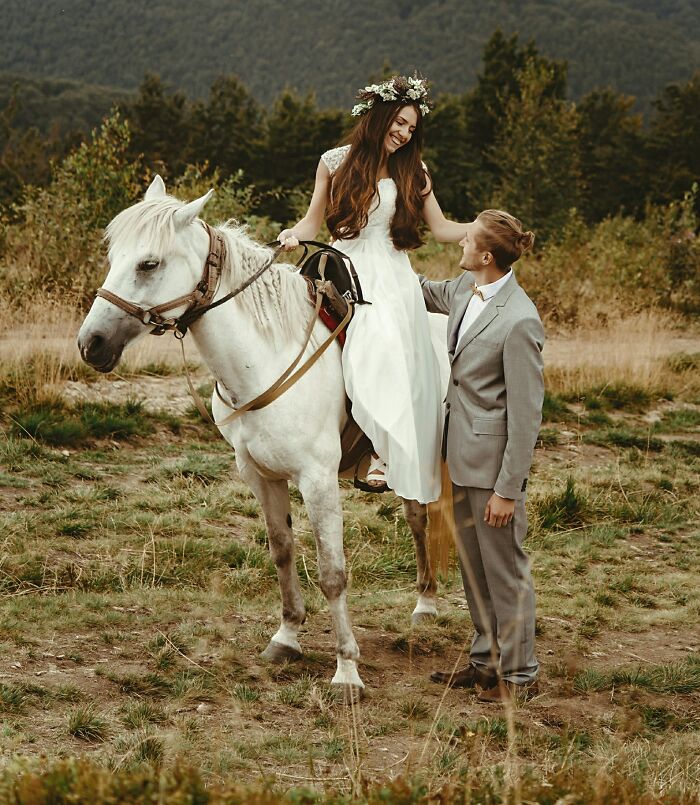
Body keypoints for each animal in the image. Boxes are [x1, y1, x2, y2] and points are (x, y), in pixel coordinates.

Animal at [77, 176, 447, 695]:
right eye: (114, 257)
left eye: (148, 263)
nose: (90, 344)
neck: (266, 357)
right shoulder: (259, 474)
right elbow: (282, 550)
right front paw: (287, 637)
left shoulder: (318, 480)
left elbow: (332, 572)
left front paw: (347, 669)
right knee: (417, 518)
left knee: (432, 518)